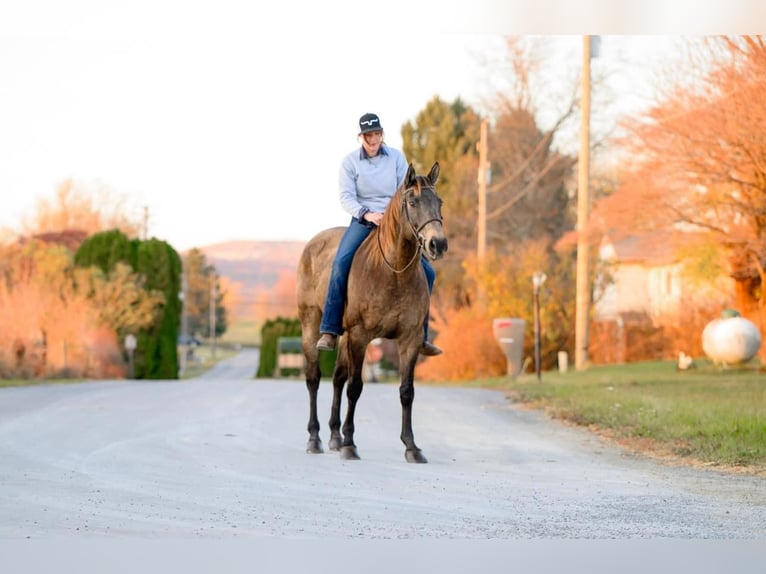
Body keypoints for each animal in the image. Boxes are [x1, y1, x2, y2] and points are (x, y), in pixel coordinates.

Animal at [296, 161, 448, 464]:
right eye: (412, 202)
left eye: (439, 202)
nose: (438, 244)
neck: (393, 272)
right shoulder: (361, 336)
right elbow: (355, 388)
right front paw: (350, 445)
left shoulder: (410, 340)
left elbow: (406, 391)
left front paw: (411, 447)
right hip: (312, 326)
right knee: (314, 378)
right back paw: (315, 439)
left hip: (343, 337)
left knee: (337, 378)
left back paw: (334, 437)